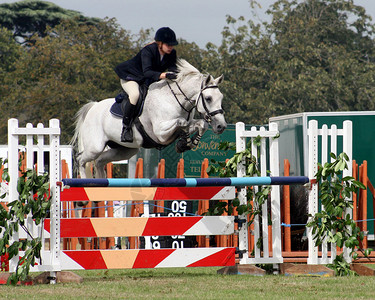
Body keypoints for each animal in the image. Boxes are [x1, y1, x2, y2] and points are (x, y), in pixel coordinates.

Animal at [72, 59, 228, 179]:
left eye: (221, 98)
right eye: (208, 98)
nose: (221, 126)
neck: (174, 99)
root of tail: (93, 107)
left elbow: (201, 124)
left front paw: (188, 143)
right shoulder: (160, 133)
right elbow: (182, 122)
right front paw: (185, 142)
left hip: (124, 150)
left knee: (99, 162)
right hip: (95, 147)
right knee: (81, 159)